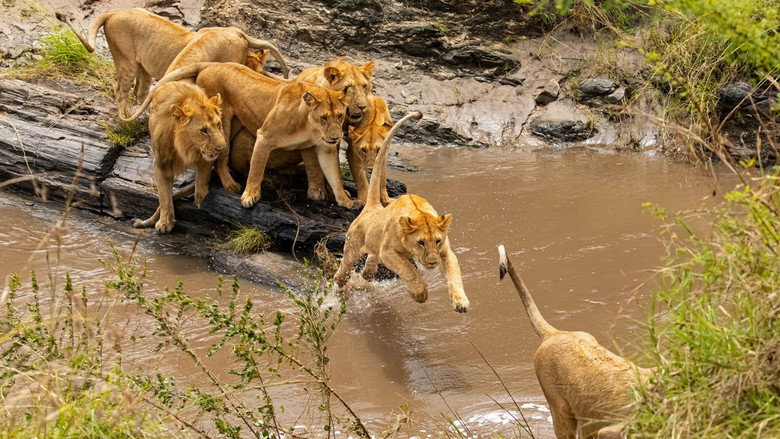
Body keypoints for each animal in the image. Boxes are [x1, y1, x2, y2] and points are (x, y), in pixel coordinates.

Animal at [125, 62, 358, 209]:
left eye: (339, 116)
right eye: (324, 117)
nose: (336, 137)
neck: (309, 125)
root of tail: (209, 64)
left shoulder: (325, 147)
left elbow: (334, 174)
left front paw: (345, 200)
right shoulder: (264, 136)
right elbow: (256, 168)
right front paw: (250, 196)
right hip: (223, 123)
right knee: (221, 158)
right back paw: (231, 184)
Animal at [130, 81, 226, 233]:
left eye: (218, 124)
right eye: (203, 130)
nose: (222, 148)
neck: (186, 147)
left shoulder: (205, 157)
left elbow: (202, 177)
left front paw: (201, 198)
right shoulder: (161, 163)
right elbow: (164, 195)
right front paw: (165, 222)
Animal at [333, 111, 471, 313]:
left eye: (437, 241)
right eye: (421, 242)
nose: (432, 262)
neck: (419, 213)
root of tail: (372, 207)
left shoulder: (445, 252)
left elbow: (454, 276)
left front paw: (461, 302)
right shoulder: (388, 253)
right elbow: (409, 269)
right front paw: (420, 294)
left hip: (374, 247)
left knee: (368, 269)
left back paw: (365, 275)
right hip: (352, 246)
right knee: (343, 271)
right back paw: (339, 288)